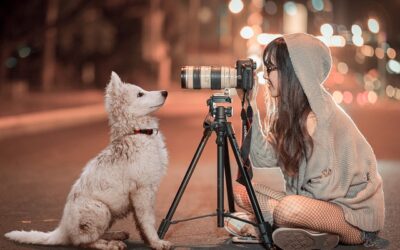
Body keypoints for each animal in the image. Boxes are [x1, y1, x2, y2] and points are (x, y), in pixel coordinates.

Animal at [5, 72, 172, 250]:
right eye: (140, 94)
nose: (165, 92)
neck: (137, 132)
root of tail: (62, 230)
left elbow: (141, 224)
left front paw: (149, 241)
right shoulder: (142, 191)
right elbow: (147, 221)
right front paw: (157, 242)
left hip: (109, 213)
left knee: (93, 235)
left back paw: (116, 235)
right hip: (101, 209)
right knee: (84, 242)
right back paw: (110, 244)